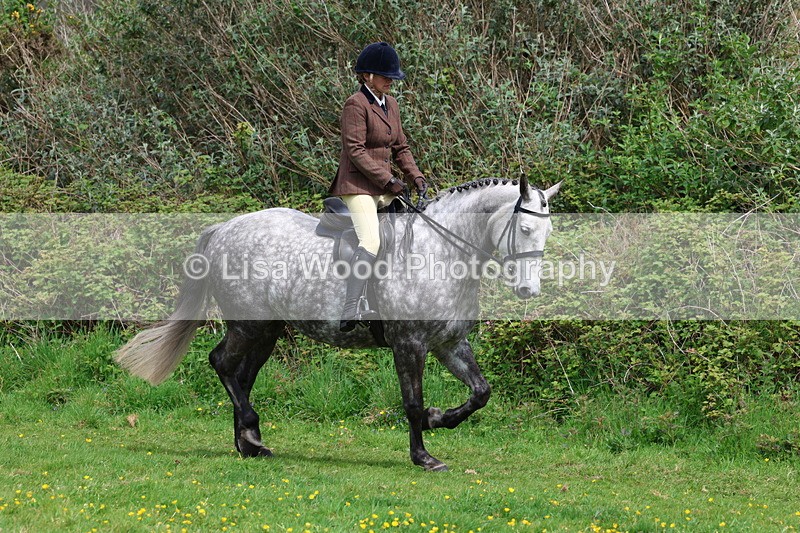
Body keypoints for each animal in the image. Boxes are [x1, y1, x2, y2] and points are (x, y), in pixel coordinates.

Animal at [115, 178, 561, 471]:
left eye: (548, 230)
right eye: (524, 228)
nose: (529, 290)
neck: (440, 252)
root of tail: (224, 227)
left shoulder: (449, 343)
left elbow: (480, 392)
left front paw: (439, 420)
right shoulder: (409, 344)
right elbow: (412, 402)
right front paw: (423, 455)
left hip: (267, 330)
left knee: (242, 375)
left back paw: (248, 443)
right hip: (248, 325)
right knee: (222, 364)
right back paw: (252, 434)